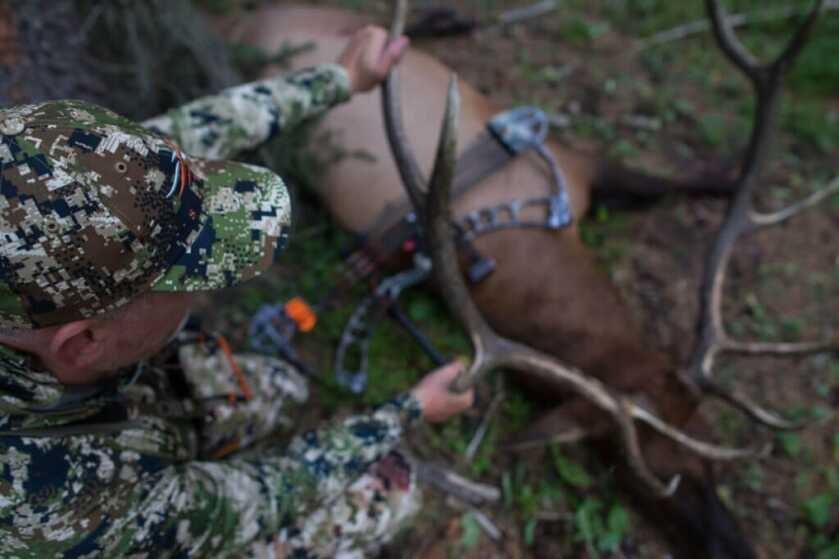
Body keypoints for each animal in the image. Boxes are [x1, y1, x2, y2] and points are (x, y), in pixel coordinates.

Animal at [221, 2, 838, 557]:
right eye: (646, 481)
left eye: (710, 450)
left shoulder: (580, 168)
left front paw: (736, 174)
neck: (530, 257)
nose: (738, 548)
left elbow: (668, 182)